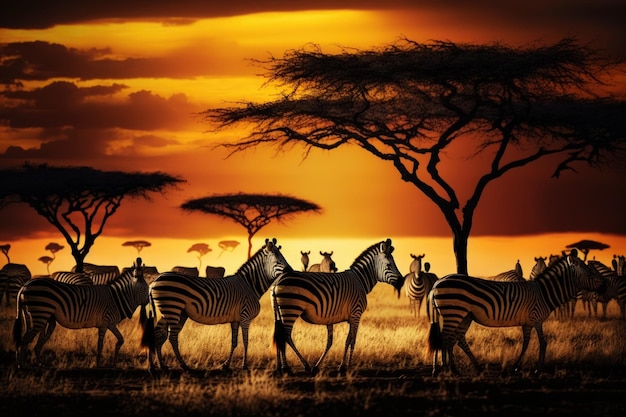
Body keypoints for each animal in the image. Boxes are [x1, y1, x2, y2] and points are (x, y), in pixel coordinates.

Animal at [14, 256, 148, 368]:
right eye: (143, 288)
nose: (147, 302)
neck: (115, 298)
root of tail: (24, 286)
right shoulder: (105, 322)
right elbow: (100, 344)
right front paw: (98, 364)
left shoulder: (109, 324)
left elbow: (120, 340)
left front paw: (113, 363)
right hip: (40, 314)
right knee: (25, 340)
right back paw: (21, 366)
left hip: (39, 317)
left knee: (35, 342)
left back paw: (37, 364)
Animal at [143, 237, 292, 370]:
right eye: (278, 260)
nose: (291, 272)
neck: (249, 285)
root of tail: (154, 281)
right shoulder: (245, 316)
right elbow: (245, 341)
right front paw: (244, 366)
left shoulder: (236, 319)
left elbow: (234, 342)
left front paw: (226, 365)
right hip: (172, 309)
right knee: (171, 337)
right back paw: (182, 366)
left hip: (169, 312)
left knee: (157, 334)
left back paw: (157, 366)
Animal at [272, 237, 404, 374]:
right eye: (389, 265)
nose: (402, 281)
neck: (360, 281)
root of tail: (278, 281)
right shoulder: (356, 314)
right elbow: (352, 340)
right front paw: (347, 367)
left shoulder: (340, 318)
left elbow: (334, 341)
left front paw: (324, 366)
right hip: (291, 310)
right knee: (286, 335)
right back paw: (295, 367)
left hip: (279, 311)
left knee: (279, 335)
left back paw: (280, 367)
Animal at [426, 250, 604, 376]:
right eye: (590, 272)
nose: (605, 285)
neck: (544, 293)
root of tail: (437, 282)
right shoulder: (537, 318)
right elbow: (543, 342)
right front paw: (538, 370)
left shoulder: (528, 322)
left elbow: (526, 343)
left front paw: (516, 367)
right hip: (454, 312)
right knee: (445, 337)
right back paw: (443, 369)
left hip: (463, 315)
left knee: (456, 339)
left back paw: (463, 368)